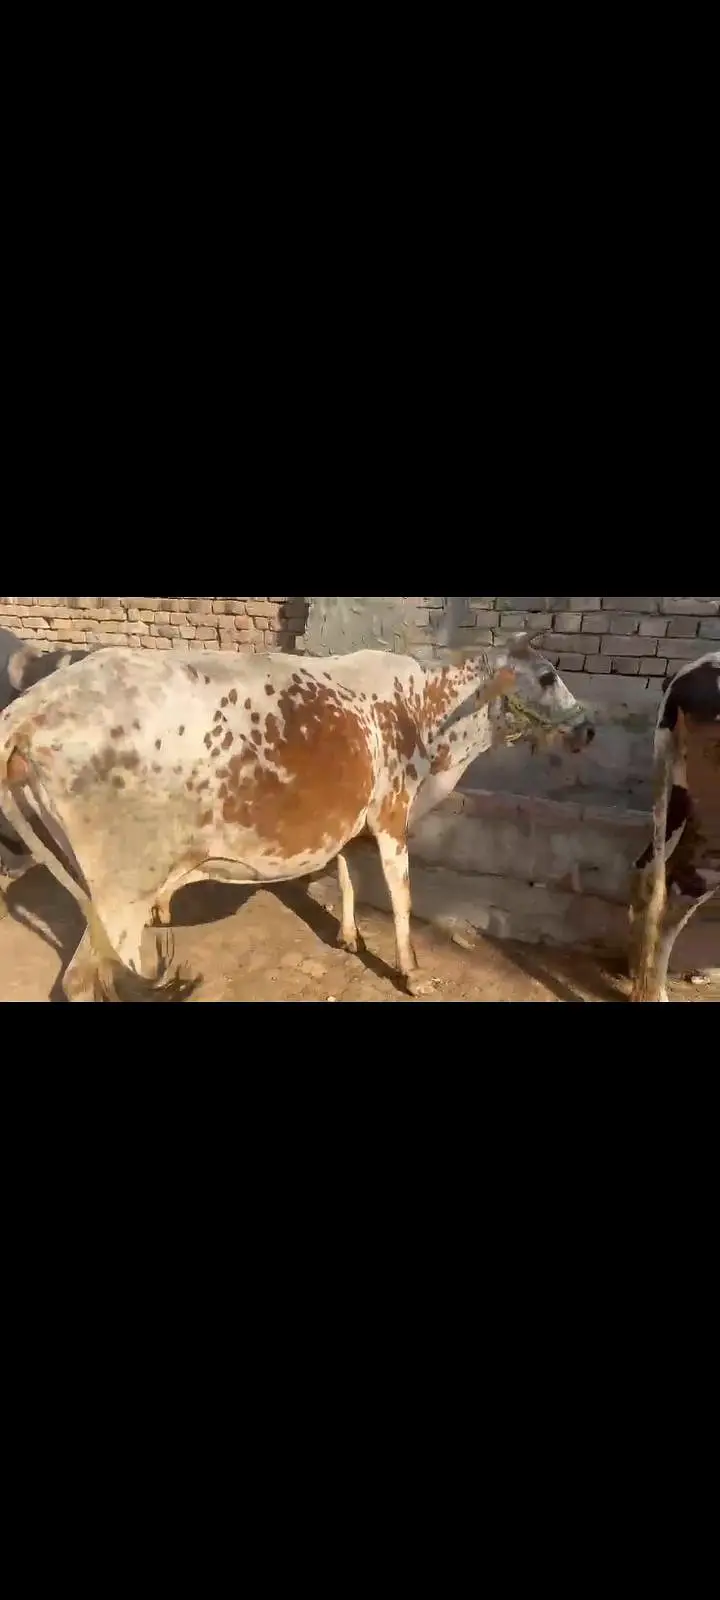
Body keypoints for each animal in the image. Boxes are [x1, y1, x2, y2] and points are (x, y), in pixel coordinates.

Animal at [0, 639, 593, 1001]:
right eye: (547, 676)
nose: (587, 729)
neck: (426, 710)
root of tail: (29, 707)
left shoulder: (351, 822)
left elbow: (347, 876)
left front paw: (351, 937)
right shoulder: (391, 815)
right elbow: (401, 898)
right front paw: (411, 971)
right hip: (124, 891)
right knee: (85, 980)